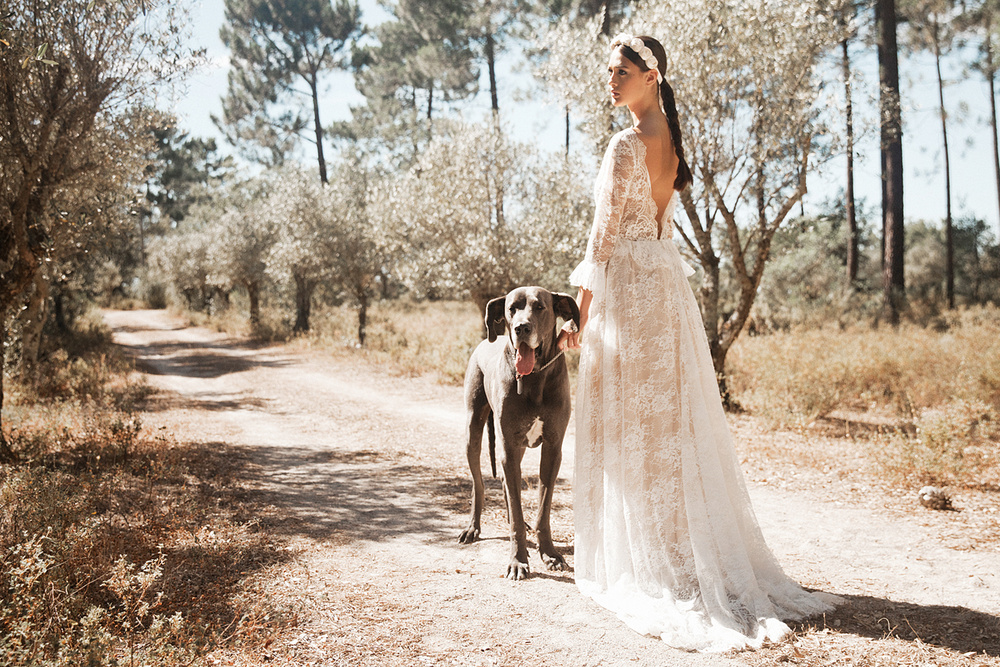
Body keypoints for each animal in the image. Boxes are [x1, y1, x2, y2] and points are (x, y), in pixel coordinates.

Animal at [456, 286, 580, 580]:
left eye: (540, 307)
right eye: (512, 308)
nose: (521, 328)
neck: (534, 377)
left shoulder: (553, 448)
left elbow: (543, 509)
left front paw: (550, 554)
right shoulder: (509, 449)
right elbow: (514, 503)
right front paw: (518, 560)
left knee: (505, 486)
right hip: (473, 430)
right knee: (479, 484)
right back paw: (473, 527)